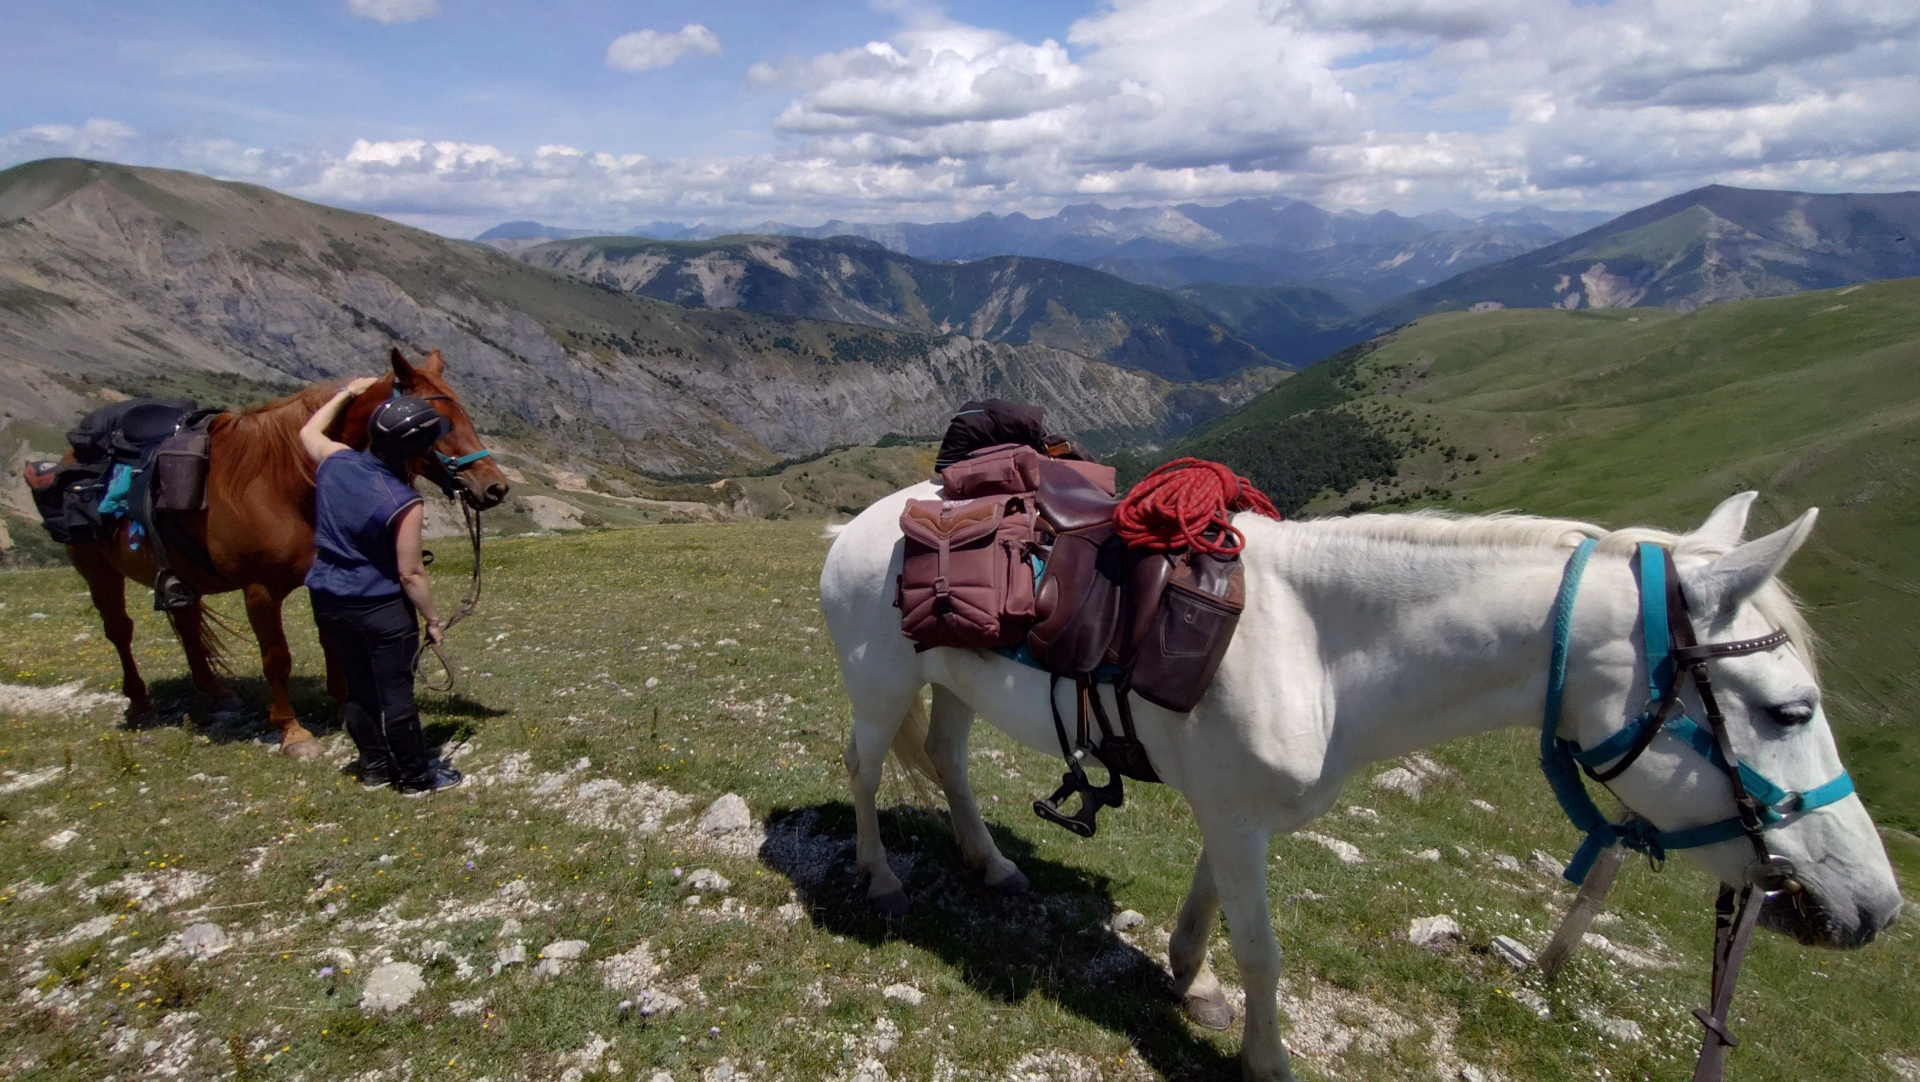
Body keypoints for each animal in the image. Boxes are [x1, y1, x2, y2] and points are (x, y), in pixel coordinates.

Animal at [64, 348, 509, 759]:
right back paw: (141, 705)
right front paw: (293, 733)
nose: (495, 487)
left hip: (181, 575)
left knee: (188, 625)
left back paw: (217, 694)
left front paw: (343, 707)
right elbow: (276, 658)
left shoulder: (323, 579)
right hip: (98, 572)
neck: (284, 482)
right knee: (120, 631)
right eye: (439, 424)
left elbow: (333, 640)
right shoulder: (259, 591)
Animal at [819, 487, 1902, 1081]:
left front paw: (1189, 979)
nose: (1877, 907)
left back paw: (989, 863)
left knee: (948, 758)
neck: (1320, 648)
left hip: (950, 685)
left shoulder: (1233, 812)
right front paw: (1265, 1055)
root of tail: (866, 520)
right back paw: (880, 877)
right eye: (1788, 710)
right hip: (878, 686)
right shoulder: (1240, 817)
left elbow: (1212, 905)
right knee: (866, 767)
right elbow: (1263, 950)